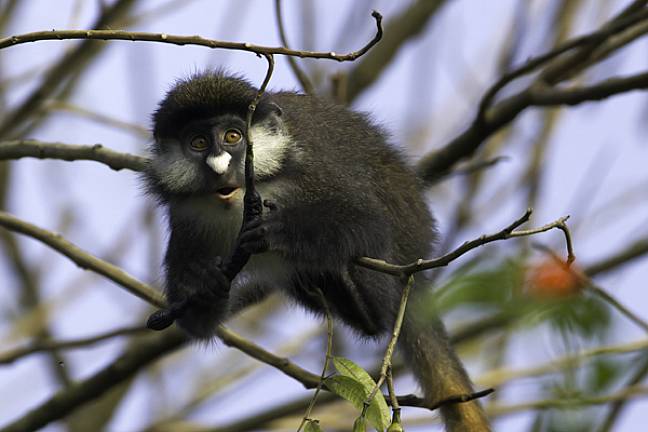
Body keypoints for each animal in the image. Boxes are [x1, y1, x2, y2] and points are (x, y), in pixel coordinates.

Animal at [143, 70, 491, 431]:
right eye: (198, 143)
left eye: (232, 136)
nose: (218, 166)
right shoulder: (186, 217)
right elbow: (196, 320)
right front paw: (203, 280)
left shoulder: (309, 169)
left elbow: (368, 221)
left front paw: (280, 231)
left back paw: (359, 296)